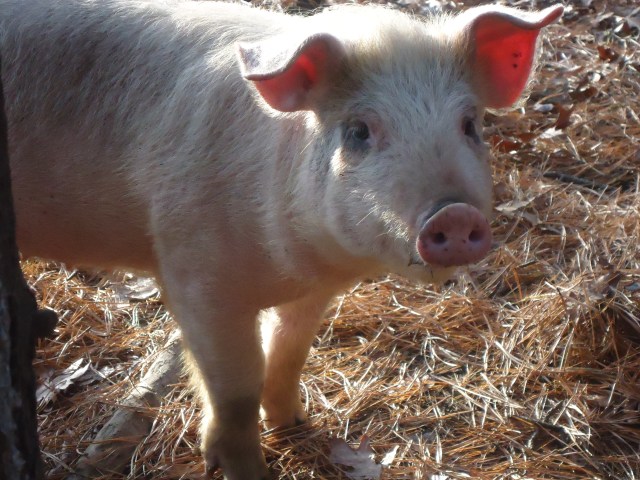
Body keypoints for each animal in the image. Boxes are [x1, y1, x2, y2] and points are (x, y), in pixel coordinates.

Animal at [0, 0, 563, 478]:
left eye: (469, 124)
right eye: (358, 131)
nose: (456, 213)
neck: (294, 267)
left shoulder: (314, 291)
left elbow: (291, 350)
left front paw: (294, 424)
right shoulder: (193, 276)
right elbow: (236, 390)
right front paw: (243, 466)